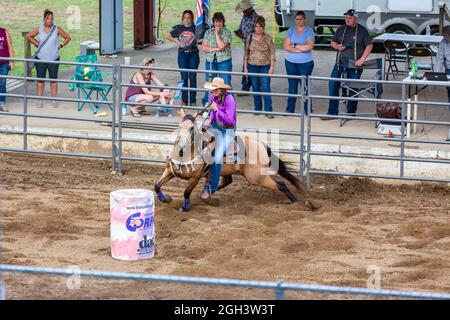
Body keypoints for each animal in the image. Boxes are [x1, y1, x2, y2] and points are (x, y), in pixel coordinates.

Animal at [153, 114, 314, 211]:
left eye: (192, 128)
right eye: (179, 127)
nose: (181, 145)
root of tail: (262, 146)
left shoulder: (194, 178)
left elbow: (186, 192)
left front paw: (185, 207)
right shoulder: (169, 171)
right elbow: (156, 185)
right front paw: (165, 199)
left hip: (256, 177)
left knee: (281, 184)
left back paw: (297, 203)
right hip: (231, 171)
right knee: (227, 181)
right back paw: (206, 194)